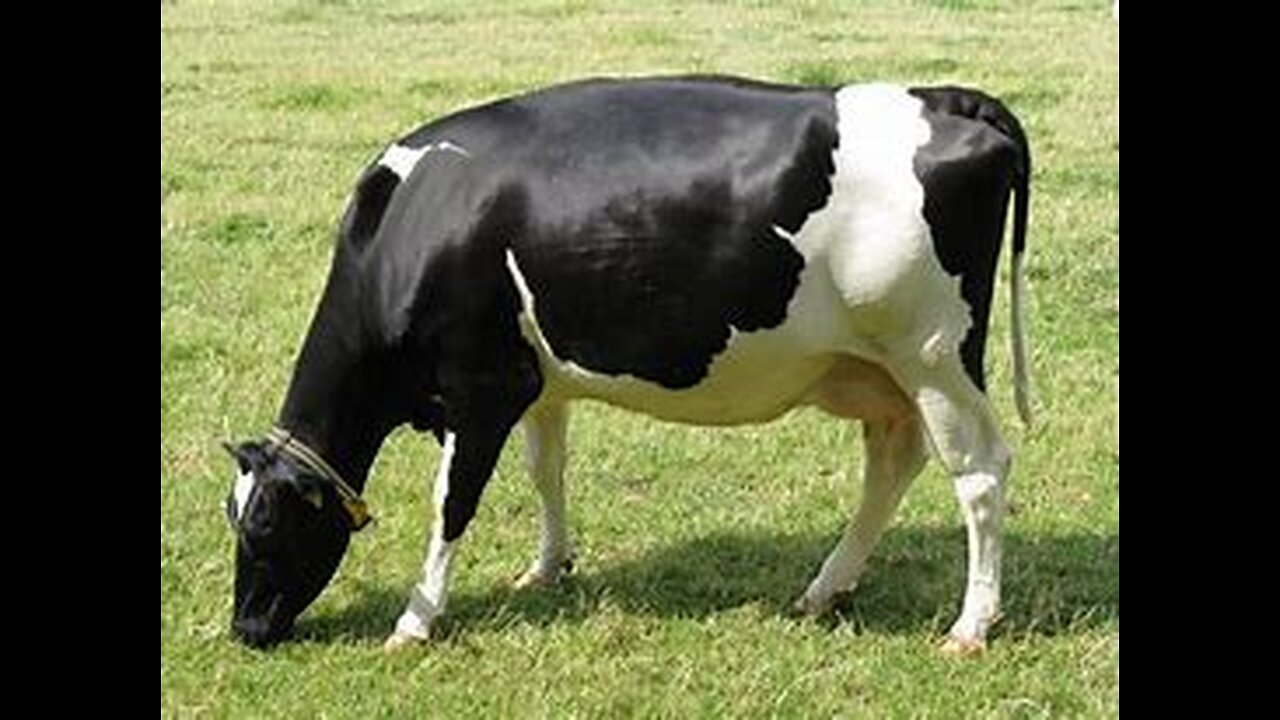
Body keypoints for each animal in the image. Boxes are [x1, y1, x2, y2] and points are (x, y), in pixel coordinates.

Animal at [224, 76, 1031, 654]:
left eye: (264, 526)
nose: (246, 630)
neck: (414, 225)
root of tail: (941, 96)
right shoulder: (537, 382)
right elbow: (546, 471)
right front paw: (546, 567)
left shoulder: (480, 388)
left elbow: (451, 503)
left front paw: (415, 621)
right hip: (881, 370)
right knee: (892, 463)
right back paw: (824, 589)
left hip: (935, 355)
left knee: (981, 474)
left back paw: (971, 625)